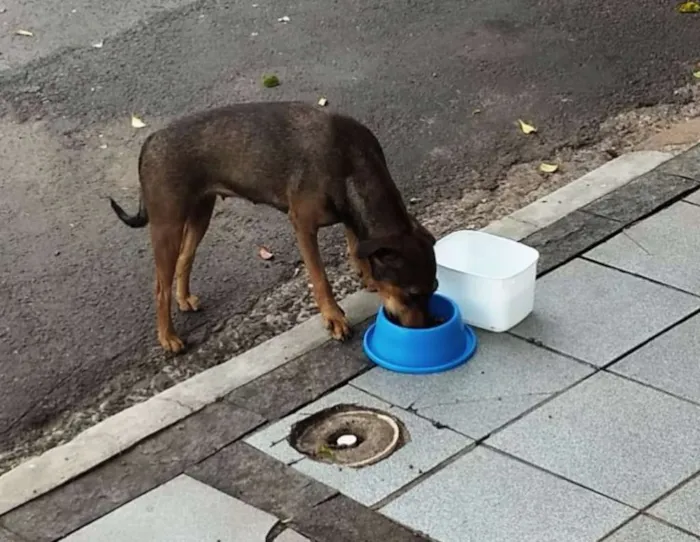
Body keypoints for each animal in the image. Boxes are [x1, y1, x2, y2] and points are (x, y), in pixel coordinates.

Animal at [109, 102, 438, 354]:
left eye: (434, 289)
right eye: (411, 295)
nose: (426, 329)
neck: (351, 160)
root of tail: (151, 139)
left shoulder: (351, 216)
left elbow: (356, 245)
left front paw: (367, 276)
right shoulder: (303, 225)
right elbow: (320, 279)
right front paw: (333, 317)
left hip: (200, 212)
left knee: (184, 259)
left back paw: (184, 298)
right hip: (167, 223)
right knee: (159, 286)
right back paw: (168, 337)